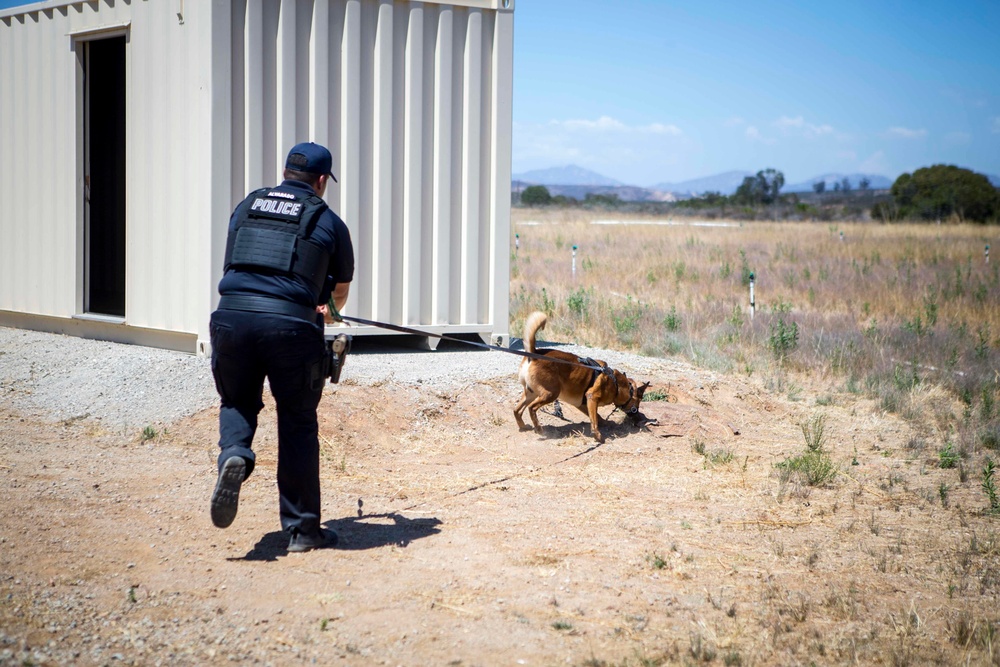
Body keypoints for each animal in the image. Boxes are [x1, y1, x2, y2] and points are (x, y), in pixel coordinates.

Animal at [516, 312, 648, 444]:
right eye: (638, 403)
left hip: (531, 393)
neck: (616, 383)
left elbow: (596, 416)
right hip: (551, 393)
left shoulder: (583, 403)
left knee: (517, 410)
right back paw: (538, 428)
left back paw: (523, 426)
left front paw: (604, 423)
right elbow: (594, 421)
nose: (639, 418)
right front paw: (598, 436)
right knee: (532, 408)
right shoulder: (592, 397)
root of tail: (534, 354)